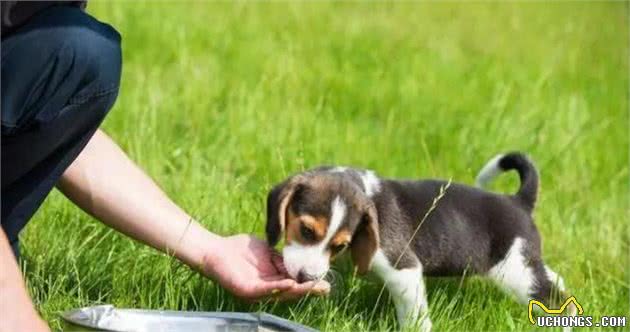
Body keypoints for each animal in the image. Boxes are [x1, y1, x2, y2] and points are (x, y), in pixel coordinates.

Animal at [266, 153, 572, 330]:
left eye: (340, 244)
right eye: (306, 231)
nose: (306, 277)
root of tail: (518, 202)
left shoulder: (404, 270)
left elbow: (414, 316)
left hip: (515, 272)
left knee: (558, 300)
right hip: (526, 265)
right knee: (555, 281)